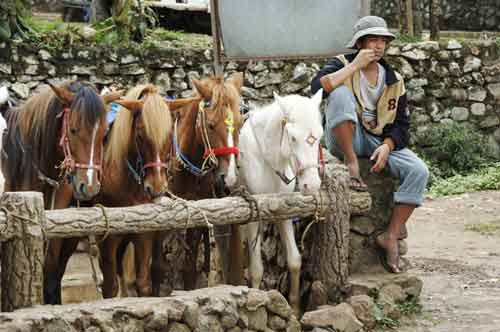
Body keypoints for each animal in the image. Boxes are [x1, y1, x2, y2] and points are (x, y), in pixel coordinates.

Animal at [96, 84, 174, 296]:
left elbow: (143, 283)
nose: (156, 188)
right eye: (140, 135)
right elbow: (110, 286)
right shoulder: (108, 238)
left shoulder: (143, 234)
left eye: (170, 136)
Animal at [238, 89, 324, 316]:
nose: (311, 185)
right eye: (293, 137)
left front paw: (294, 309)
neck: (267, 159)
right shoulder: (253, 215)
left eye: (320, 135)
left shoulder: (283, 212)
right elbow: (256, 269)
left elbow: (294, 261)